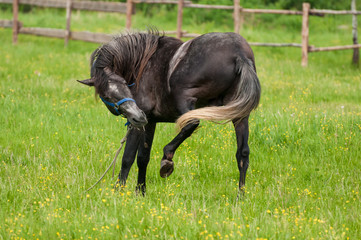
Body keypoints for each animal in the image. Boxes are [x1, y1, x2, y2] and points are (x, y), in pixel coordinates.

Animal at [77, 30, 260, 195]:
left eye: (124, 83)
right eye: (107, 94)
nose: (137, 115)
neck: (142, 62)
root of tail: (239, 54)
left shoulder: (140, 124)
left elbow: (128, 158)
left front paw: (119, 192)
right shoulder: (149, 122)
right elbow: (143, 158)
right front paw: (140, 192)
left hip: (182, 95)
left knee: (192, 123)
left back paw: (167, 159)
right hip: (240, 116)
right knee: (243, 154)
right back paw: (240, 196)